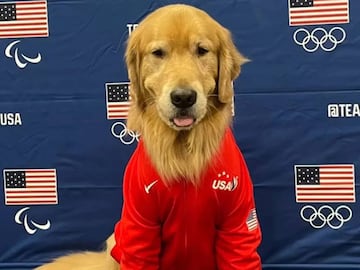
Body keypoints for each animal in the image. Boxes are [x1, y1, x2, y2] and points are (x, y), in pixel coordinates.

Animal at [36, 4, 262, 270]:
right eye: (158, 53)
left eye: (202, 50)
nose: (183, 97)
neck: (183, 152)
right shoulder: (140, 229)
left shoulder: (238, 226)